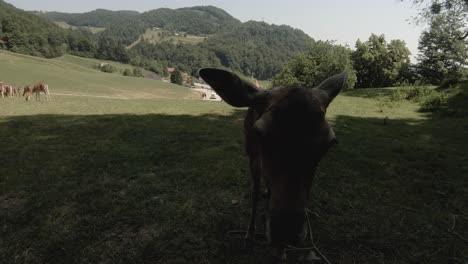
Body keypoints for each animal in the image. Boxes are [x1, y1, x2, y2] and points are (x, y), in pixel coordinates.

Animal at [198, 67, 348, 260]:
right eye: (258, 132)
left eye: (330, 142)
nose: (286, 230)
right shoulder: (253, 158)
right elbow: (254, 194)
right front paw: (249, 236)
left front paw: (281, 252)